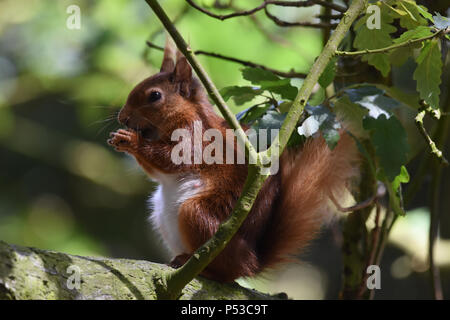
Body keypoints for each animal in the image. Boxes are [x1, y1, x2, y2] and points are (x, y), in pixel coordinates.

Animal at [107, 41, 360, 282]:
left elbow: (171, 160)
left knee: (228, 273)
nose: (123, 117)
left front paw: (131, 140)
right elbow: (157, 171)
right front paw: (120, 139)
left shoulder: (195, 135)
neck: (186, 113)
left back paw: (201, 268)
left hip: (198, 214)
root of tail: (252, 261)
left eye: (155, 96)